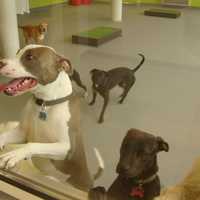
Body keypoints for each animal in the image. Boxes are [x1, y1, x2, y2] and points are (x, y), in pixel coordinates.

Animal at [0, 44, 104, 191]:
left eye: (30, 57)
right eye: (17, 52)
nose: (0, 62)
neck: (45, 104)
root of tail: (90, 178)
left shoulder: (65, 148)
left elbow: (33, 145)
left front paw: (14, 154)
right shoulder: (22, 133)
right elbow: (3, 135)